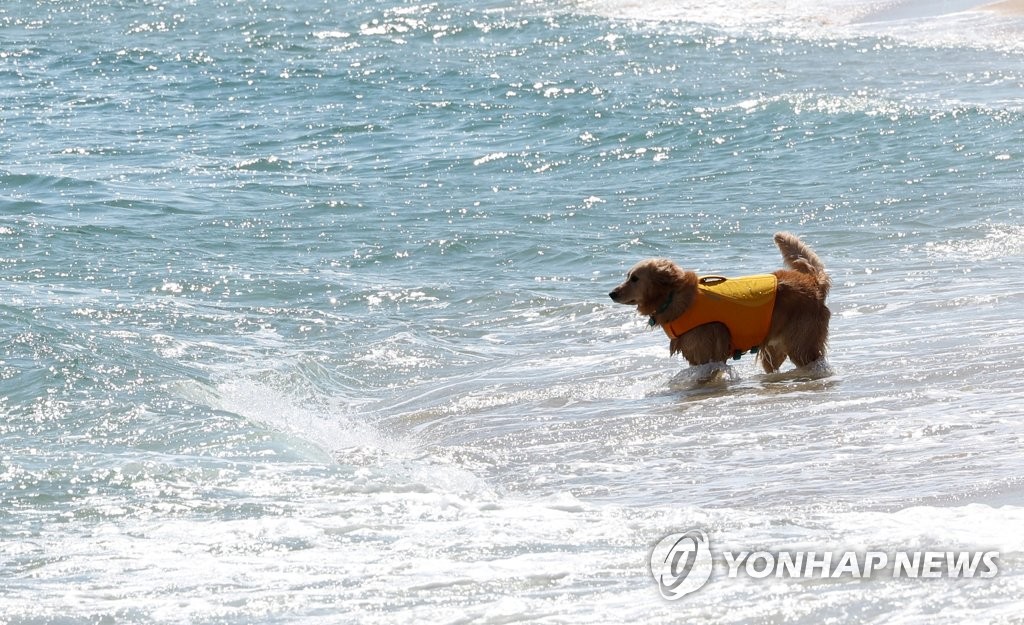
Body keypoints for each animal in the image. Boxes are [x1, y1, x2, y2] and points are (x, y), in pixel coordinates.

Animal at [610, 232, 827, 368]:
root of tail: (813, 282)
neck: (673, 298)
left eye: (635, 278)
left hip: (801, 347)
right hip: (774, 350)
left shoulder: (708, 355)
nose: (611, 293)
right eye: (627, 276)